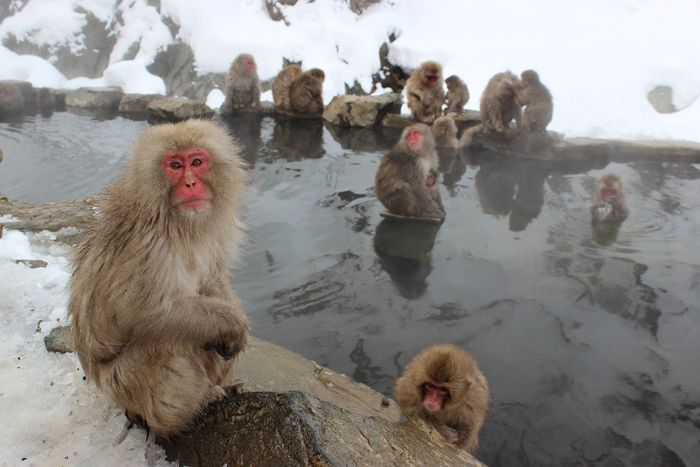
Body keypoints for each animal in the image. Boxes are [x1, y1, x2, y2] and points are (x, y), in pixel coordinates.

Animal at [67, 118, 252, 438]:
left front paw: (233, 321)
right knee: (165, 342)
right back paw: (192, 406)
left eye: (197, 162)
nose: (190, 183)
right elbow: (146, 312)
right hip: (125, 385)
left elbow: (212, 277)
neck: (176, 220)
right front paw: (233, 324)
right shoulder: (150, 245)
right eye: (175, 165)